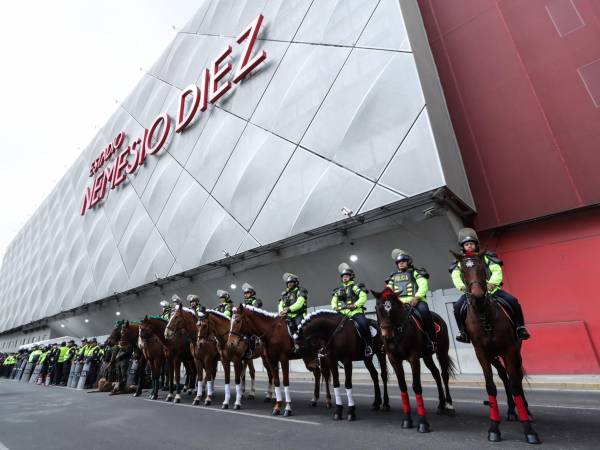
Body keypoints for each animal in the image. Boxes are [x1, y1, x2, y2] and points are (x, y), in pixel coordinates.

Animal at [370, 288, 454, 432]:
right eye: (378, 307)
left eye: (394, 308)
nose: (387, 335)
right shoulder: (394, 360)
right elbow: (402, 387)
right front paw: (407, 420)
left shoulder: (413, 358)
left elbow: (416, 386)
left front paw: (423, 423)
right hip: (426, 356)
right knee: (436, 374)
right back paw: (441, 405)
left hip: (442, 351)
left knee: (444, 375)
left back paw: (449, 405)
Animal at [452, 248, 540, 444]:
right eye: (462, 271)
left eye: (482, 269)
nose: (477, 296)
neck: (484, 315)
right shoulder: (481, 353)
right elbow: (491, 385)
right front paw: (494, 428)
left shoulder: (509, 349)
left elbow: (515, 384)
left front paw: (529, 430)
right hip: (493, 355)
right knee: (503, 375)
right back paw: (511, 410)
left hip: (515, 352)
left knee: (516, 377)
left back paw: (525, 411)